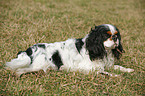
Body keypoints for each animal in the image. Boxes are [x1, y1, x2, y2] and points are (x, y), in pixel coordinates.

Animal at [5, 24, 135, 76]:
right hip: (37, 65)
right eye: (106, 35)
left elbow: (117, 67)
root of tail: (29, 50)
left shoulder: (107, 64)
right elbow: (103, 72)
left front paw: (128, 70)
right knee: (20, 69)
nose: (115, 38)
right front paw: (116, 76)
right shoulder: (87, 68)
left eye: (116, 35)